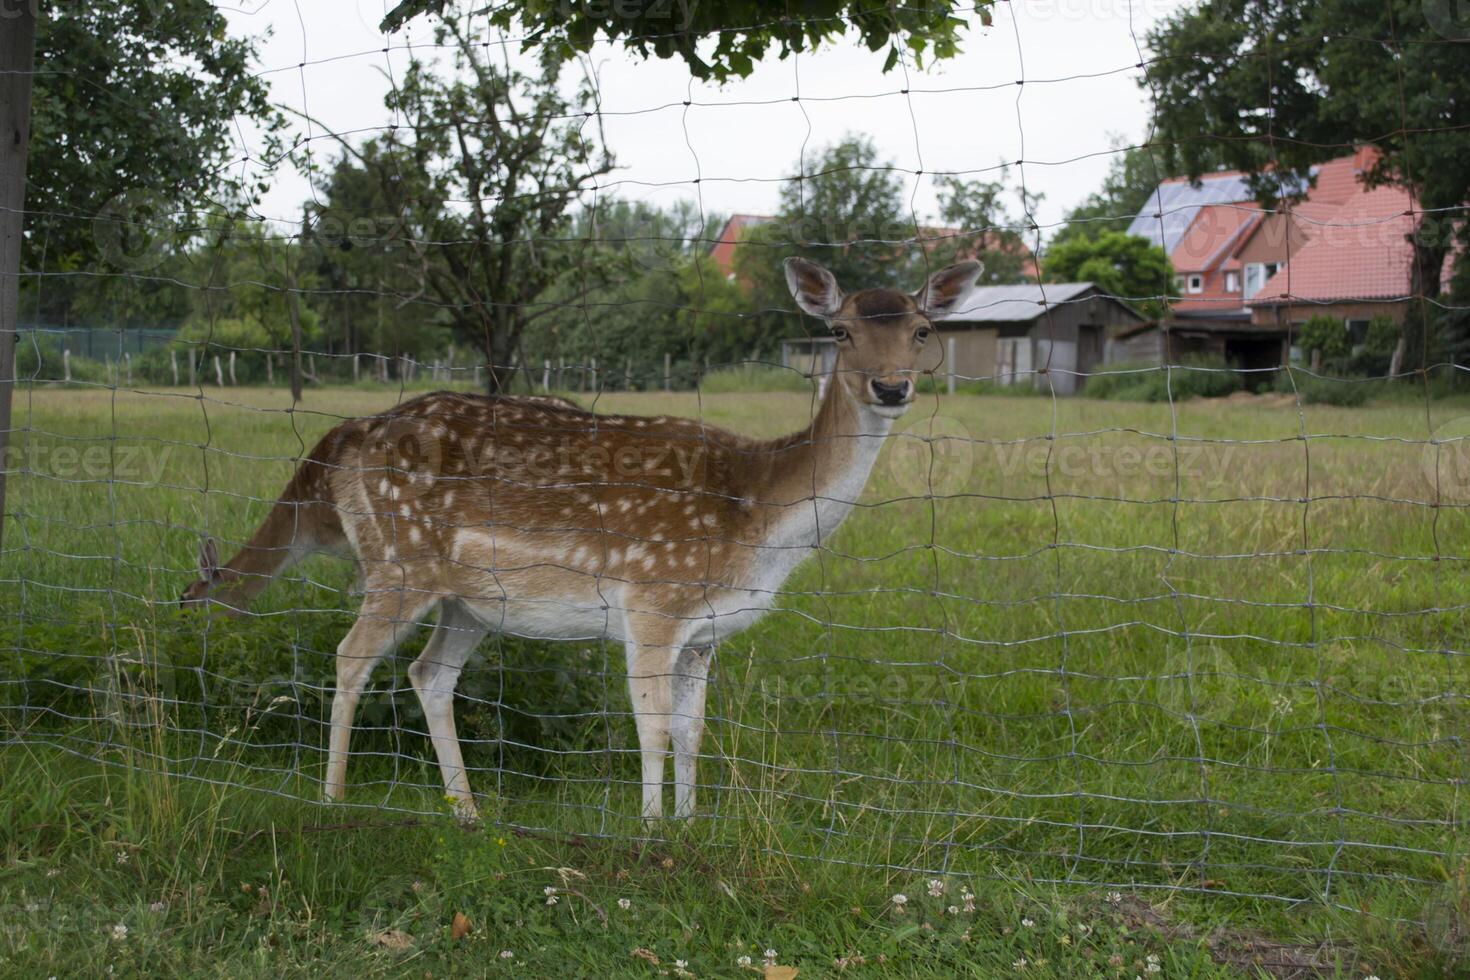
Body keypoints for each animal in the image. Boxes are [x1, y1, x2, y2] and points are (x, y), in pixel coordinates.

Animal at [183, 258, 981, 822]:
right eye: (839, 331)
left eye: (923, 330)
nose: (891, 388)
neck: (758, 522)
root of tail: (347, 435)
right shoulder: (653, 600)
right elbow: (652, 728)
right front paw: (652, 831)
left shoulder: (706, 632)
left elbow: (692, 731)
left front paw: (690, 823)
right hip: (397, 558)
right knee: (351, 658)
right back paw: (334, 797)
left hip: (468, 600)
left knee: (428, 674)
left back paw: (467, 811)